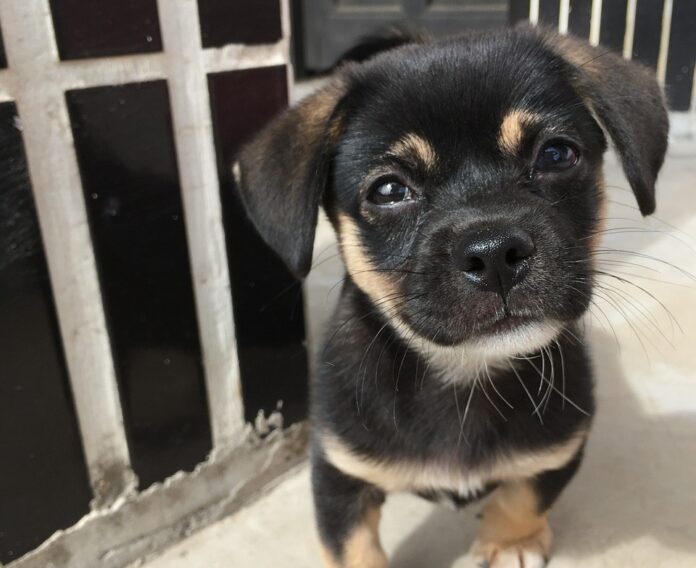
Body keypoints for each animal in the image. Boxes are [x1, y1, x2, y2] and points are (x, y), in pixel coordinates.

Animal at [235, 24, 668, 564]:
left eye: (556, 154)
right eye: (388, 190)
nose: (495, 253)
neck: (464, 373)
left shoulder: (561, 445)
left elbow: (524, 495)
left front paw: (511, 543)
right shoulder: (339, 472)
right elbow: (354, 547)